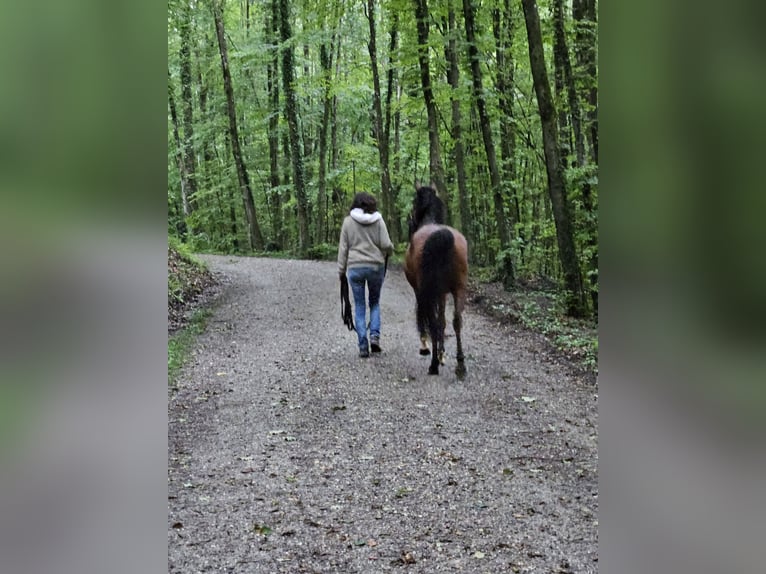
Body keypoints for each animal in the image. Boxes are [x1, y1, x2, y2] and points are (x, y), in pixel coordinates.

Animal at [404, 184, 472, 378]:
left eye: (414, 202)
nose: (410, 221)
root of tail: (442, 234)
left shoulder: (420, 291)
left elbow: (428, 319)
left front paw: (430, 349)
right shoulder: (442, 293)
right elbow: (443, 321)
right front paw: (442, 354)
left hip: (429, 290)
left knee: (433, 322)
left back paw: (433, 364)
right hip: (459, 288)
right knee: (457, 320)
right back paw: (460, 364)